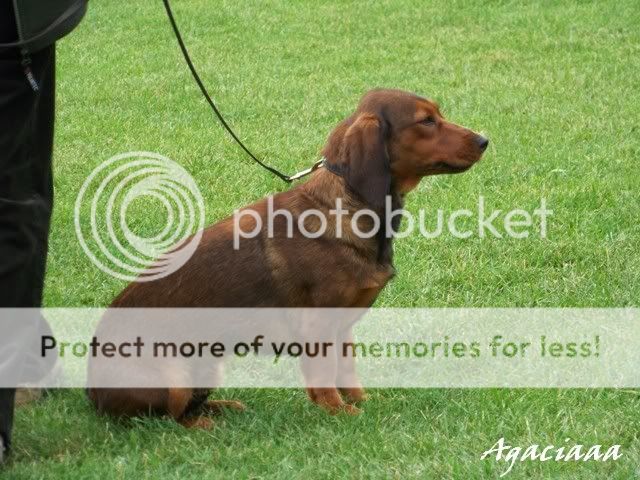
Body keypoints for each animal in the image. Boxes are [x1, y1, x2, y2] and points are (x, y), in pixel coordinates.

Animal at [87, 89, 488, 427]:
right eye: (426, 121)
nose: (485, 140)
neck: (344, 206)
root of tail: (90, 393)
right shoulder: (318, 327)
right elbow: (324, 378)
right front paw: (339, 413)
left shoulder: (344, 327)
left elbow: (348, 372)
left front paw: (363, 402)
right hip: (174, 375)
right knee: (165, 418)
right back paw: (202, 426)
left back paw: (222, 408)